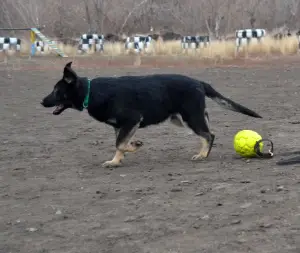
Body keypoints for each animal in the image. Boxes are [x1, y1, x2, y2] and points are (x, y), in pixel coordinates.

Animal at [41, 62, 262, 167]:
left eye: (56, 91)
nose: (41, 101)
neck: (91, 92)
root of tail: (198, 82)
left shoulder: (131, 120)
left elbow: (119, 143)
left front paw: (133, 147)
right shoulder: (121, 126)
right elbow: (120, 144)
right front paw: (116, 161)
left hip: (190, 117)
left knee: (209, 135)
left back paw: (203, 155)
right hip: (183, 118)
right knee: (208, 133)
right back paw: (202, 153)